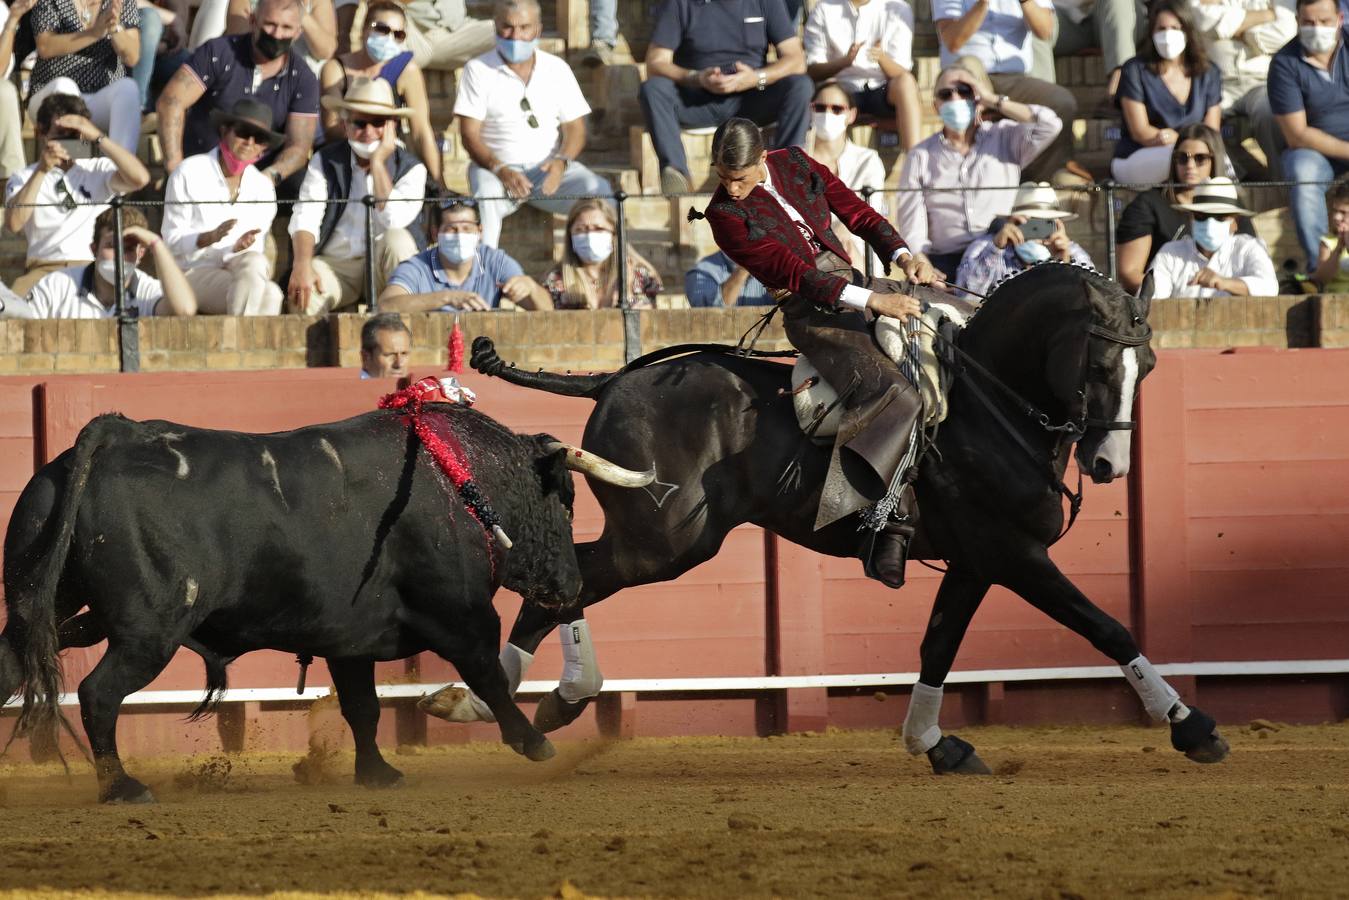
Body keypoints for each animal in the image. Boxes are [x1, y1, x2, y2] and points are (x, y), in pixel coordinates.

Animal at [0, 402, 628, 804]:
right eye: (565, 500)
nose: (571, 587)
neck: (465, 482)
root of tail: (114, 436)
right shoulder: (462, 615)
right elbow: (489, 677)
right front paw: (535, 743)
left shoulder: (351, 638)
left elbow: (363, 707)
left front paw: (377, 774)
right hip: (148, 633)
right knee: (98, 693)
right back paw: (122, 788)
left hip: (43, 608)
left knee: (13, 663)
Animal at [439, 261, 1224, 777]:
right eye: (1098, 366)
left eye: (1150, 367)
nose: (1110, 465)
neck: (984, 406)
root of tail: (615, 378)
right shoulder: (1013, 554)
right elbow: (1106, 625)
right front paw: (1191, 726)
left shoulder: (976, 561)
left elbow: (938, 646)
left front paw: (934, 743)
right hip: (665, 541)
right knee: (571, 575)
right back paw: (518, 700)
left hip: (661, 539)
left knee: (568, 572)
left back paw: (516, 702)